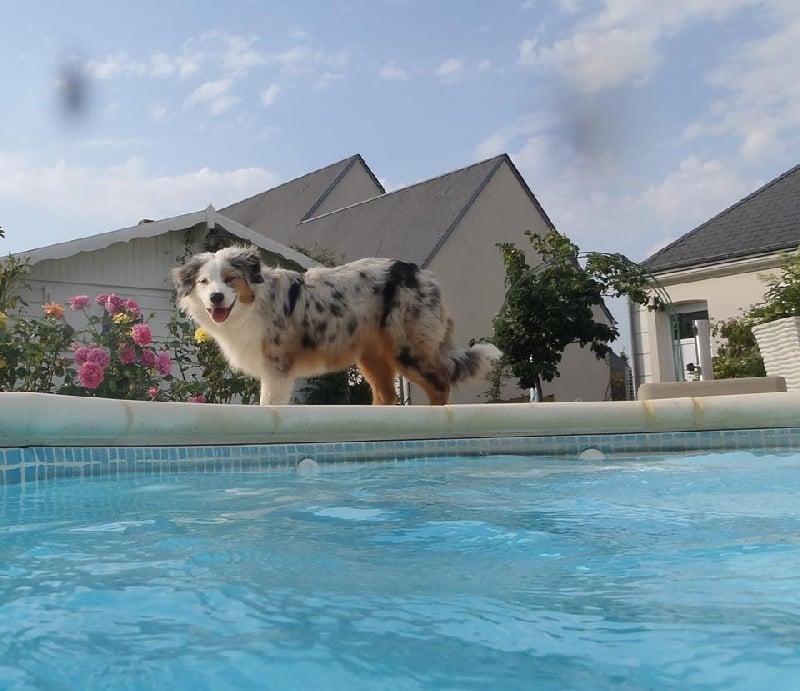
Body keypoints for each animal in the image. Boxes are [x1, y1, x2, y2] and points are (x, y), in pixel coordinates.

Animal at [173, 246, 500, 406]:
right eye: (204, 282)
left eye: (230, 279)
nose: (216, 297)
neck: (252, 305)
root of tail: (423, 273)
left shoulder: (277, 369)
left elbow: (268, 405)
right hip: (373, 356)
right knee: (387, 396)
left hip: (408, 348)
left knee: (440, 385)